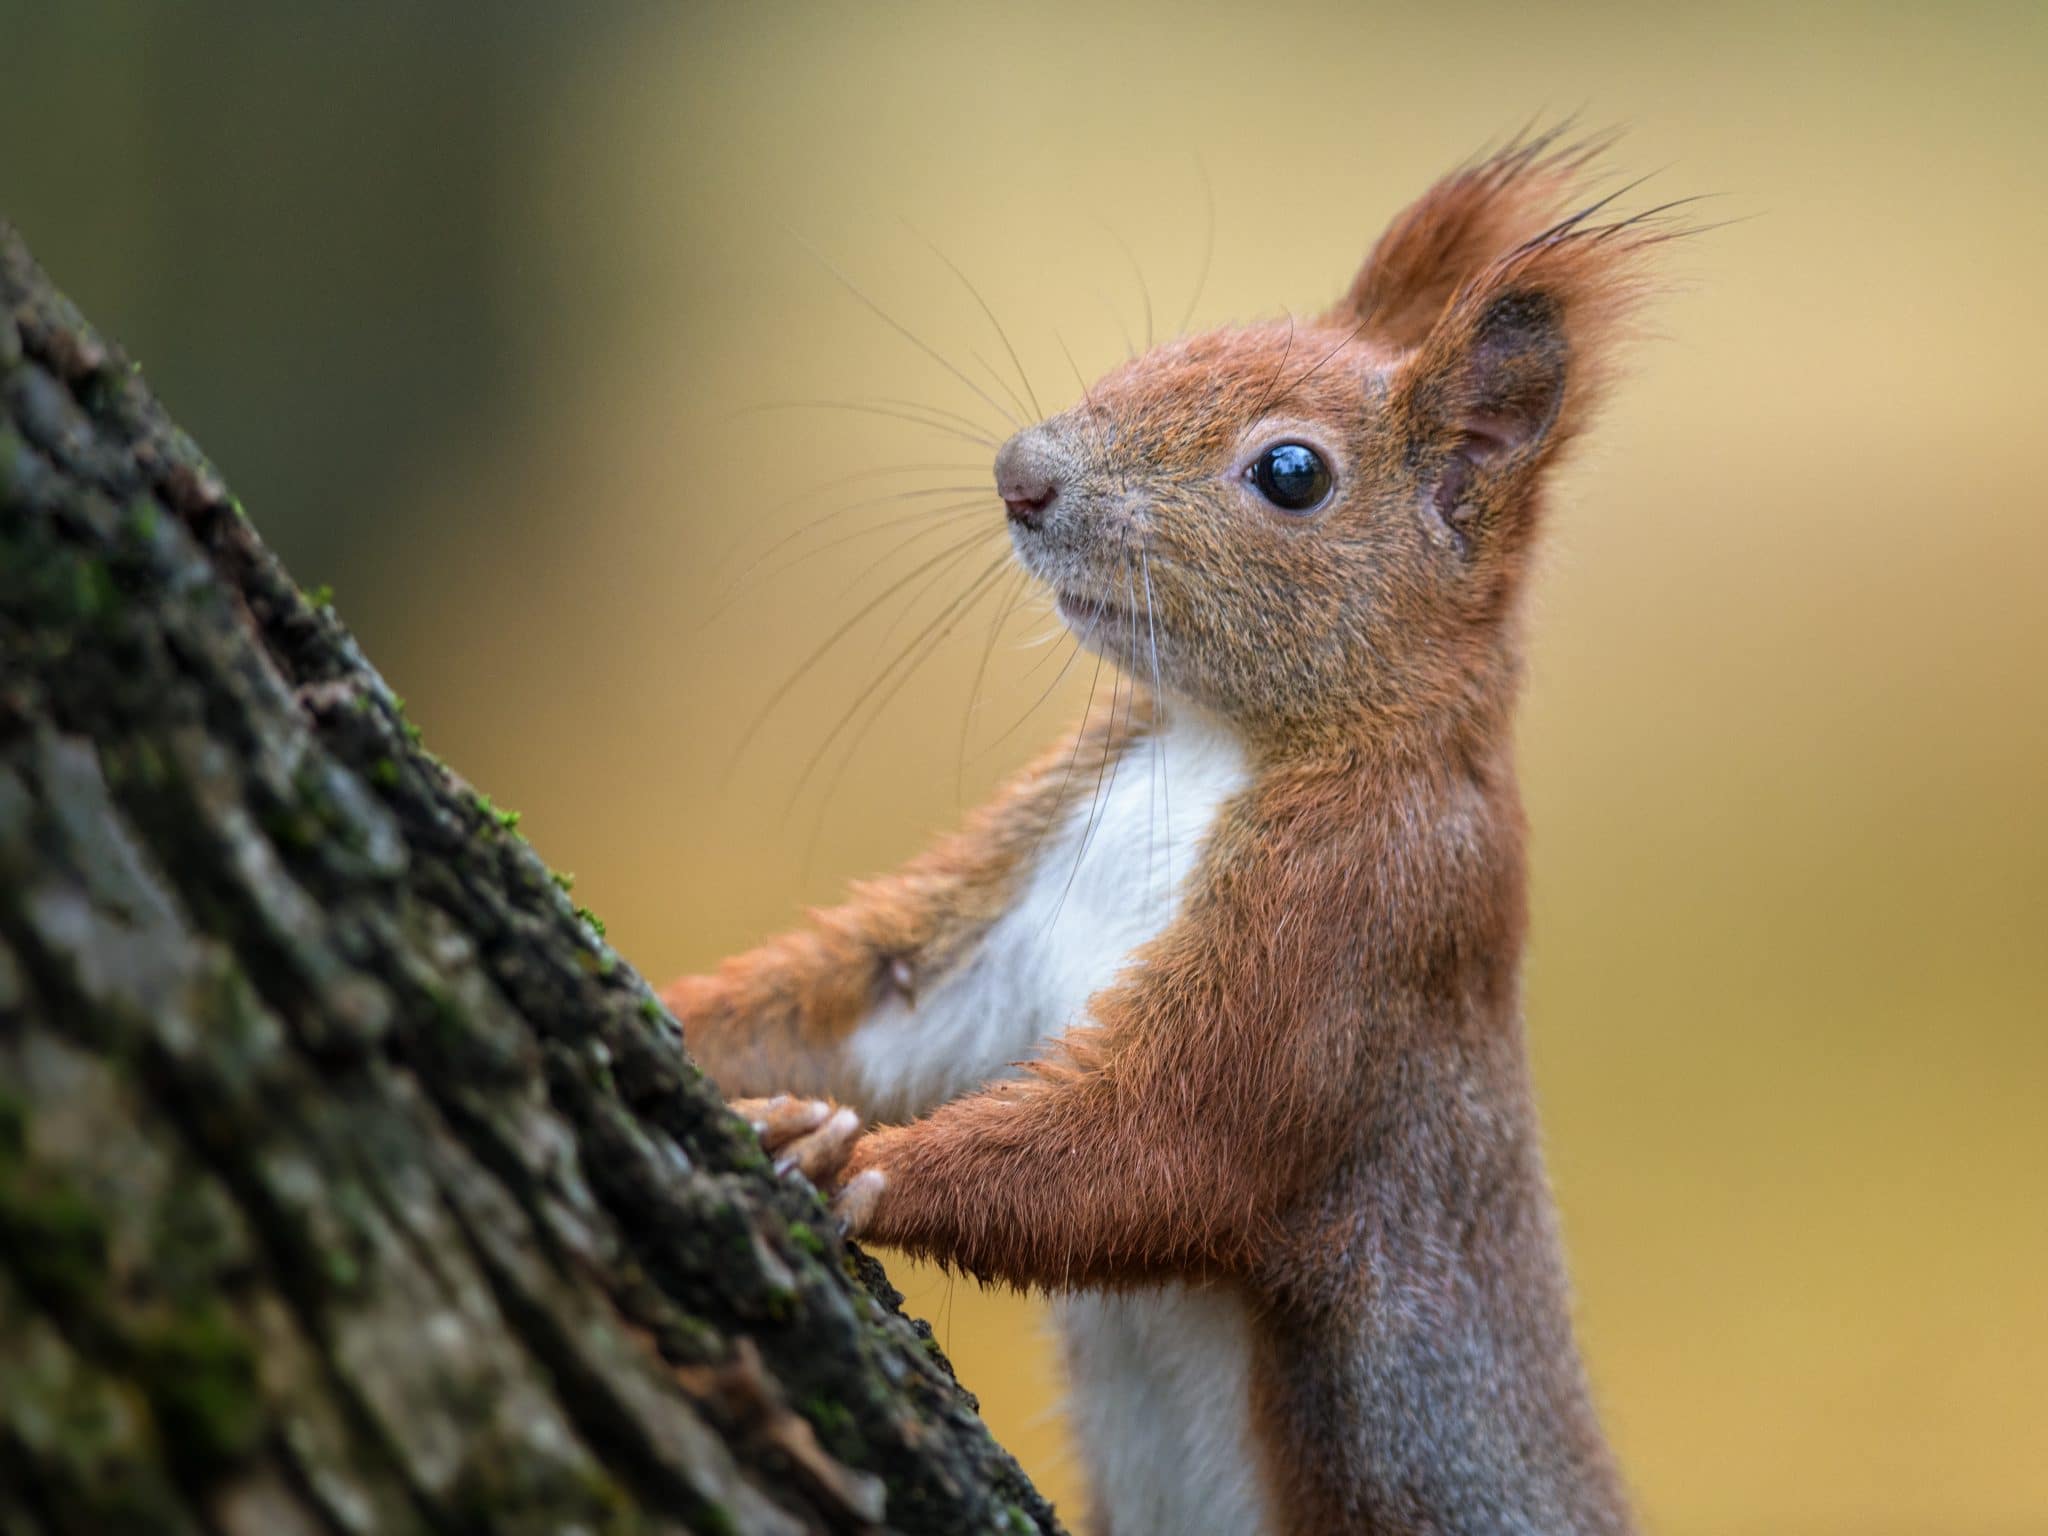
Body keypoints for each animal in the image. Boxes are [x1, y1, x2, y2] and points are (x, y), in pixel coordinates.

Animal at [666, 129, 1681, 1535]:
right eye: (1171, 348)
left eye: (1290, 474)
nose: (1020, 475)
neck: (1211, 743)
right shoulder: (1022, 885)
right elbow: (874, 1004)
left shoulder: (1367, 920)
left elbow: (1172, 1136)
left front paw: (851, 1161)